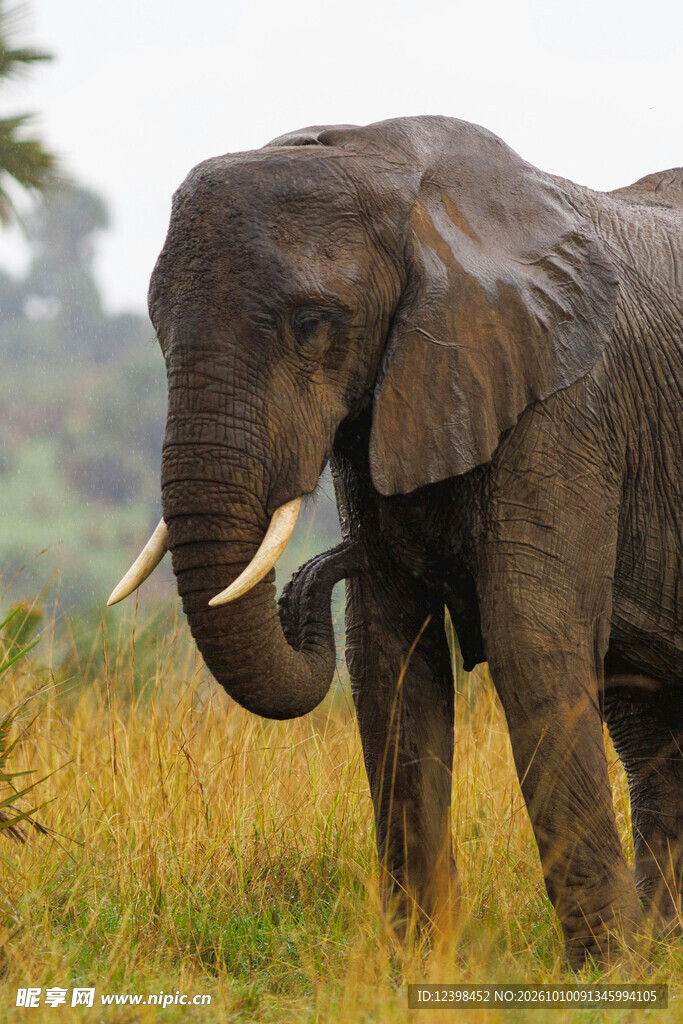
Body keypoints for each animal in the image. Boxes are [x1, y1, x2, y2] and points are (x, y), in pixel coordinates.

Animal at [109, 116, 682, 967]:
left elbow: (530, 641)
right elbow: (389, 656)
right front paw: (416, 962)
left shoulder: (567, 407)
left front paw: (603, 975)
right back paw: (664, 945)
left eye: (312, 324)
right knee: (644, 726)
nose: (338, 555)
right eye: (153, 327)